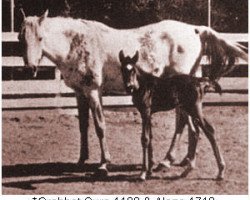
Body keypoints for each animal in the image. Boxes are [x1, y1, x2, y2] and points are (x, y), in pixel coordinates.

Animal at [118, 50, 226, 181]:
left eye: (133, 69)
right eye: (122, 69)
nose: (129, 87)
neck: (143, 85)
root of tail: (199, 81)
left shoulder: (145, 112)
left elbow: (145, 139)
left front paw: (143, 173)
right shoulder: (149, 113)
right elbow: (151, 138)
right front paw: (150, 170)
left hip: (194, 109)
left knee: (209, 130)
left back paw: (220, 171)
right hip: (188, 109)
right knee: (197, 131)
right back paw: (187, 170)